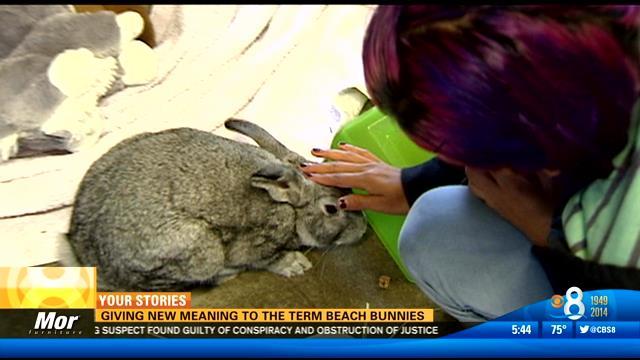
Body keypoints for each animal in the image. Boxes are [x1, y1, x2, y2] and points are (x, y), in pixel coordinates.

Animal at [63, 119, 370, 292]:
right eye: (332, 209)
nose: (364, 228)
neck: (290, 210)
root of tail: (88, 259)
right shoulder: (258, 242)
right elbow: (263, 260)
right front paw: (295, 265)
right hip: (199, 250)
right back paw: (226, 276)